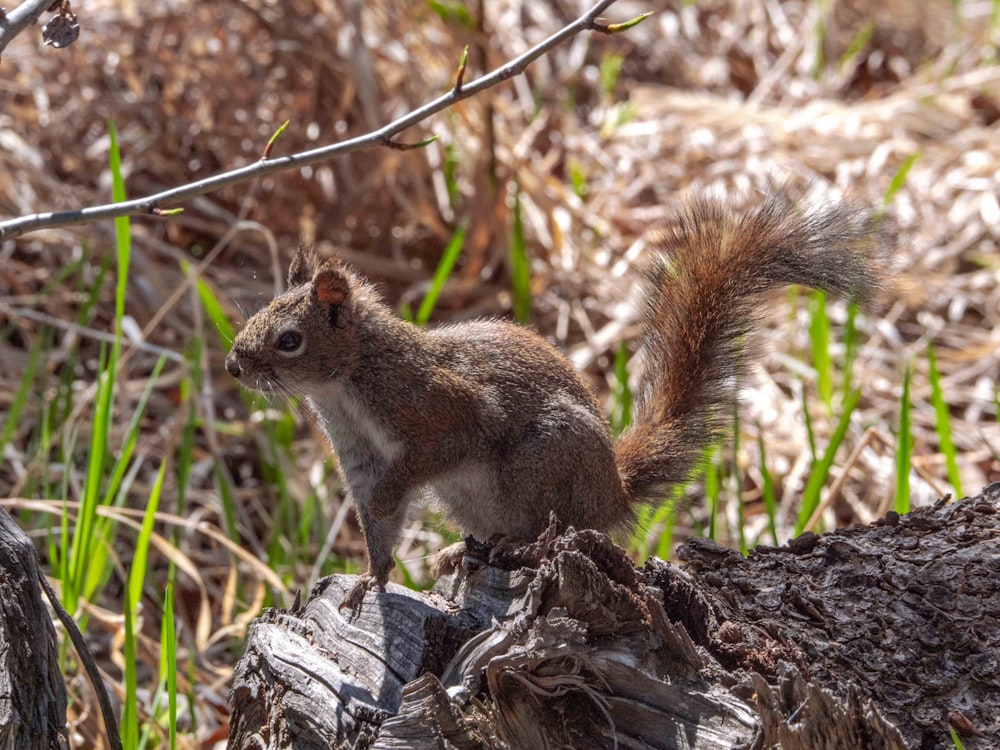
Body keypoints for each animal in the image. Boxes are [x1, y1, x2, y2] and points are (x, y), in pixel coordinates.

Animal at [223, 192, 888, 612]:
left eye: (289, 340)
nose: (234, 366)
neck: (348, 385)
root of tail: (614, 489)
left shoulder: (440, 409)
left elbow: (425, 458)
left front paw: (391, 502)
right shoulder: (359, 456)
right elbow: (376, 526)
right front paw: (371, 578)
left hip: (546, 461)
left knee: (565, 525)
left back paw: (519, 545)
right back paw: (458, 552)